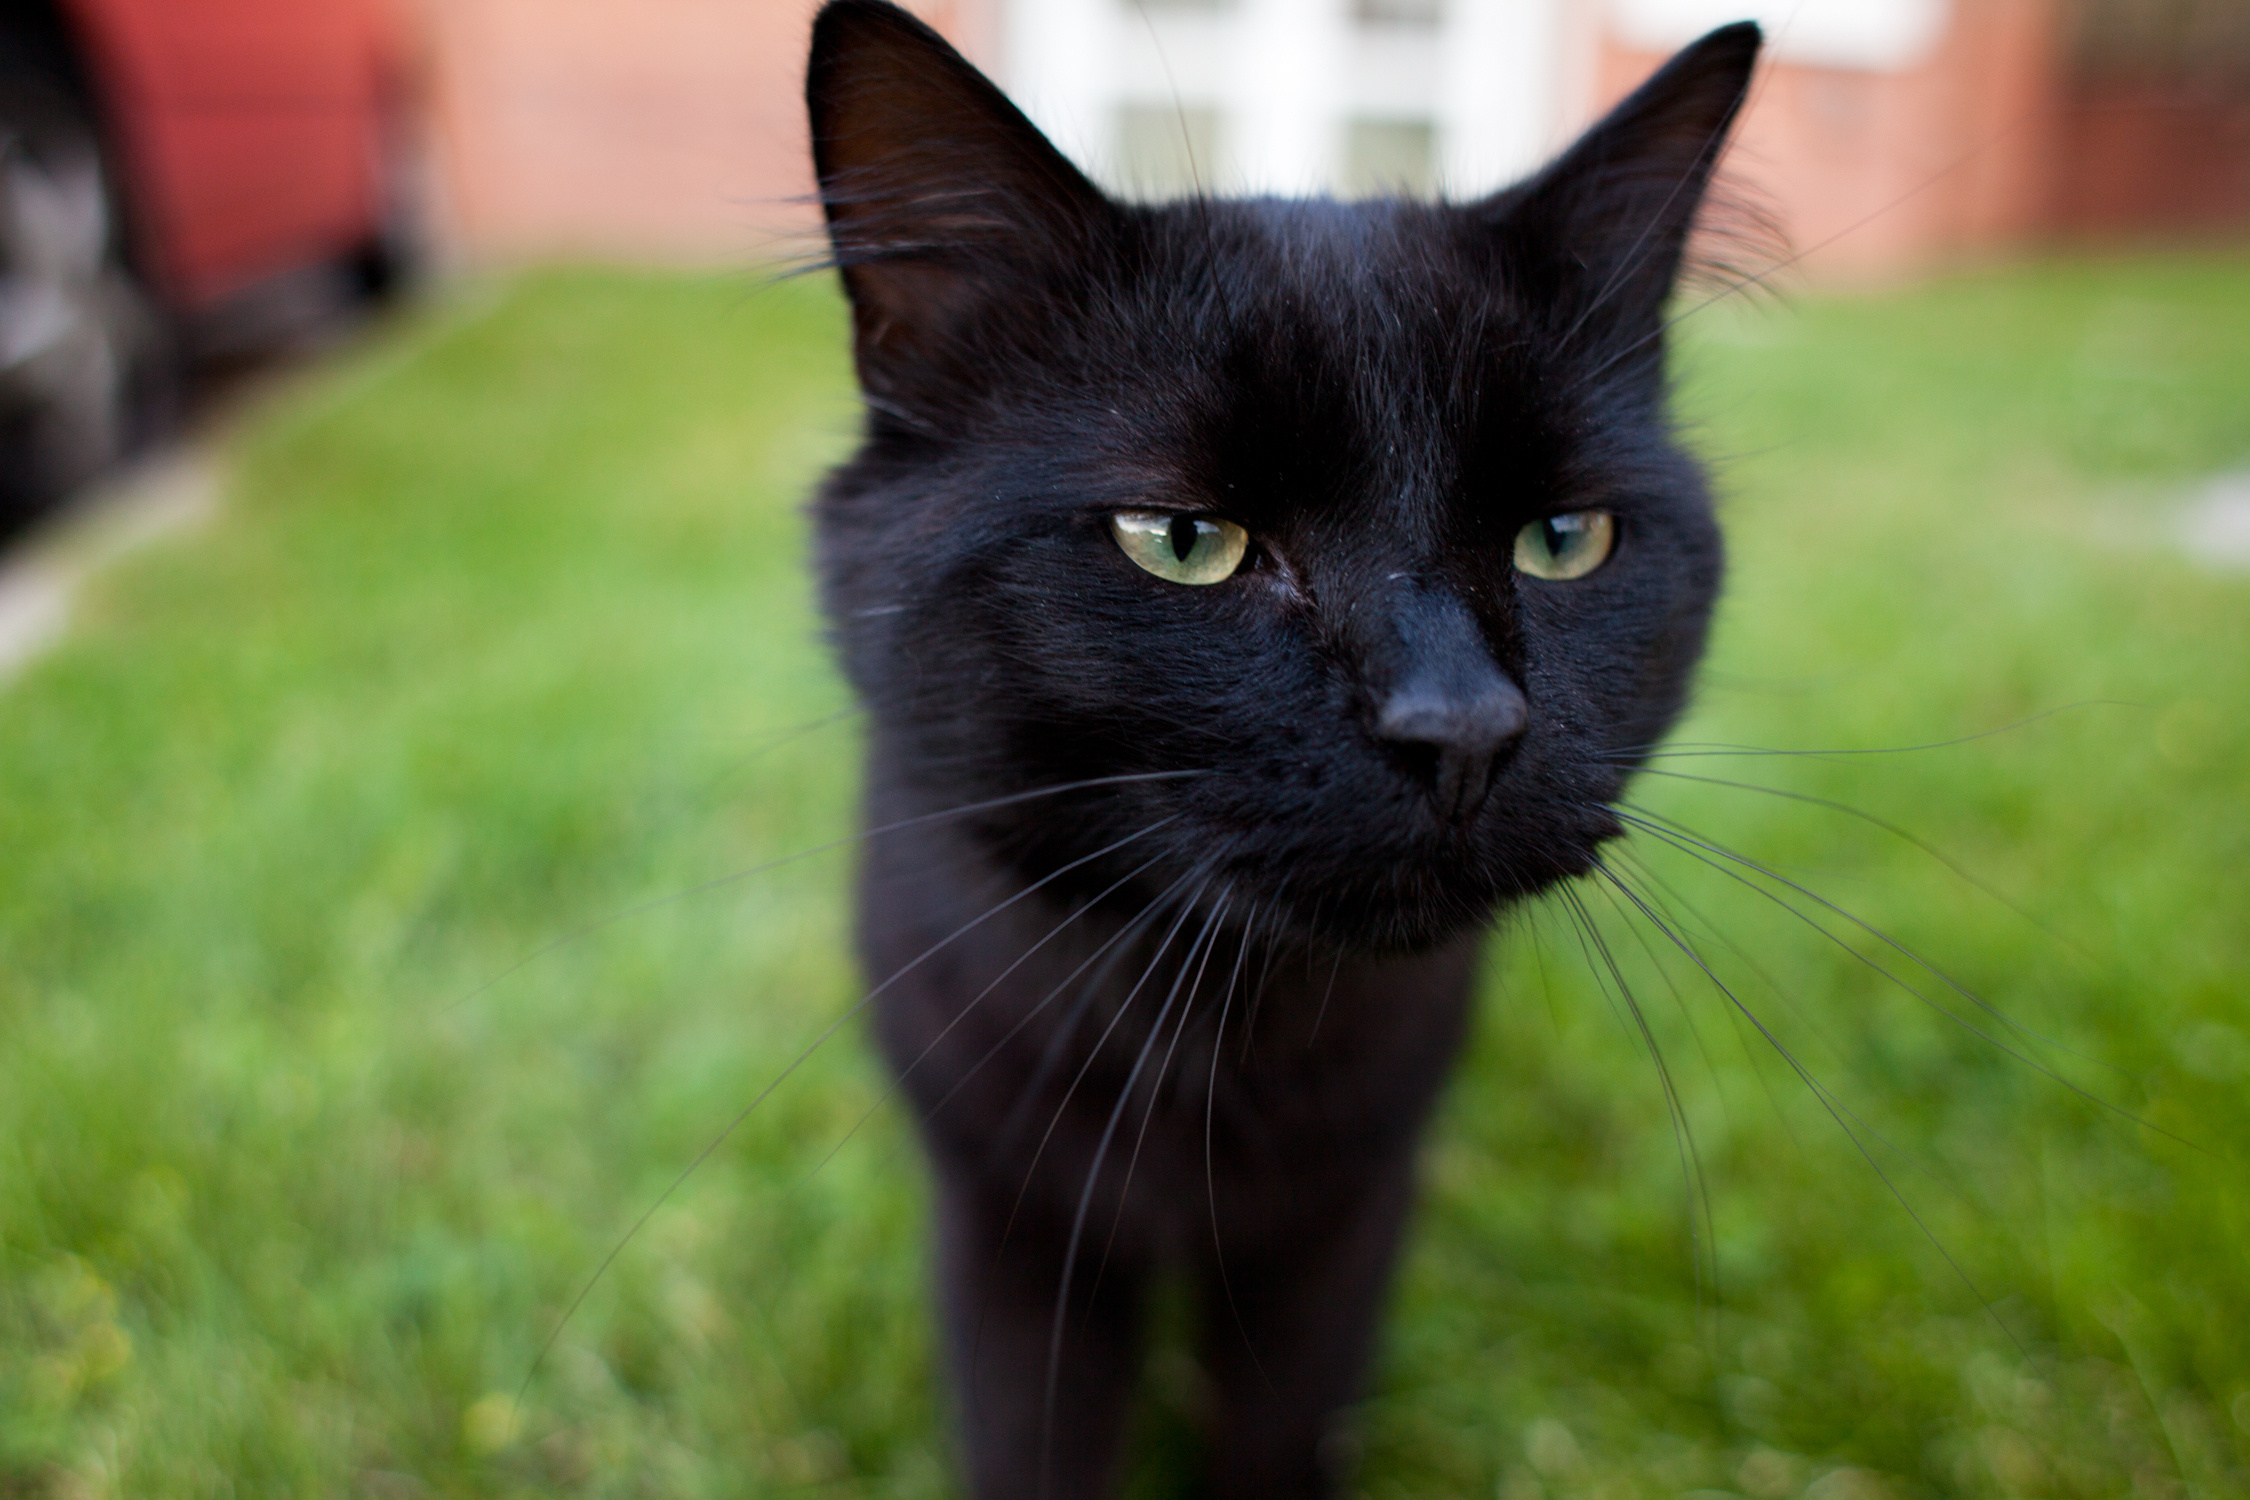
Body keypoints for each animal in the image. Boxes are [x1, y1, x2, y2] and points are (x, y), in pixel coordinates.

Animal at [805, 5, 1755, 1493]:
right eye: (1184, 542)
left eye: (1565, 539)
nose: (1459, 725)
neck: (1214, 1039)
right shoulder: (1011, 1212)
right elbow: (1032, 1438)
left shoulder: (1342, 1213)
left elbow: (1279, 1428)